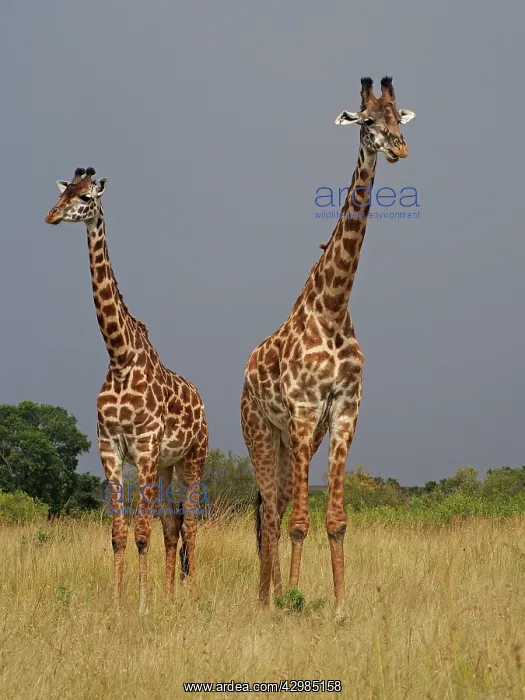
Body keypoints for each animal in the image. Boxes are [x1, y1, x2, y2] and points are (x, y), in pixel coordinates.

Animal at [45, 167, 209, 614]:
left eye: (85, 197)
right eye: (63, 191)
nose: (51, 215)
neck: (120, 358)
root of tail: (202, 403)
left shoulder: (146, 447)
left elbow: (141, 534)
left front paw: (142, 606)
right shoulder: (110, 449)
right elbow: (119, 534)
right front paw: (120, 604)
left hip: (193, 458)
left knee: (189, 525)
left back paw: (189, 599)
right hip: (169, 464)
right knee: (173, 524)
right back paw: (170, 597)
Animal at [241, 77, 415, 617]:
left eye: (399, 116)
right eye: (368, 121)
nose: (399, 147)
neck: (335, 307)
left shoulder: (343, 410)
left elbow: (335, 519)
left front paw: (339, 605)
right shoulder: (301, 410)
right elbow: (301, 520)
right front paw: (296, 600)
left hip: (295, 439)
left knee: (271, 507)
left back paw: (271, 593)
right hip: (261, 431)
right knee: (271, 510)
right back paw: (268, 600)